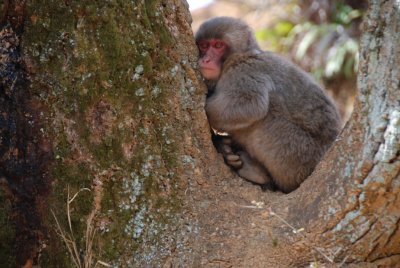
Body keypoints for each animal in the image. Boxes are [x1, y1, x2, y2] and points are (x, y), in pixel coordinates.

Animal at [195, 16, 340, 193]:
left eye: (217, 45)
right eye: (203, 45)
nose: (206, 59)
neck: (242, 54)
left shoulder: (243, 70)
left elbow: (250, 105)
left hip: (296, 154)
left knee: (269, 111)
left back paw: (256, 173)